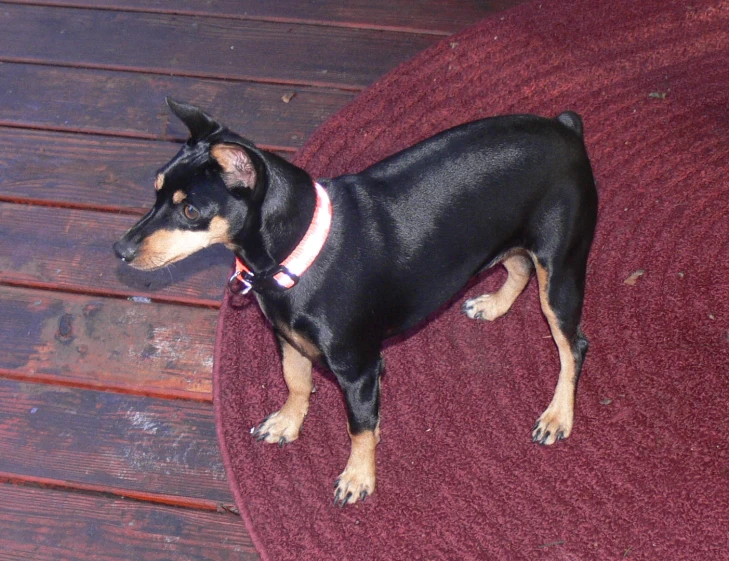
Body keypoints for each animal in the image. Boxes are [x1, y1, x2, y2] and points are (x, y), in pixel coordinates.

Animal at [115, 97, 596, 508]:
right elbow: (296, 382)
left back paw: (558, 416)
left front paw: (359, 476)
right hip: (507, 243)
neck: (299, 252)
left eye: (190, 211)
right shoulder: (287, 339)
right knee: (519, 268)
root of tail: (567, 128)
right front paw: (288, 422)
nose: (120, 250)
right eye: (156, 190)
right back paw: (494, 305)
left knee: (573, 345)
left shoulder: (359, 369)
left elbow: (359, 428)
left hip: (560, 273)